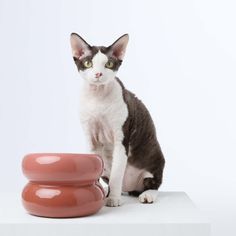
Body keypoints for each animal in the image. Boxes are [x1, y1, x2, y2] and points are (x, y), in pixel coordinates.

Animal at [70, 32, 165, 206]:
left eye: (108, 64)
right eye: (88, 63)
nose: (98, 74)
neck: (97, 97)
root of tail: (130, 188)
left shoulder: (121, 139)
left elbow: (116, 173)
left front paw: (113, 199)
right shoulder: (90, 138)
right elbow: (93, 166)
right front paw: (95, 192)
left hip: (155, 159)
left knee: (154, 184)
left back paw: (146, 195)